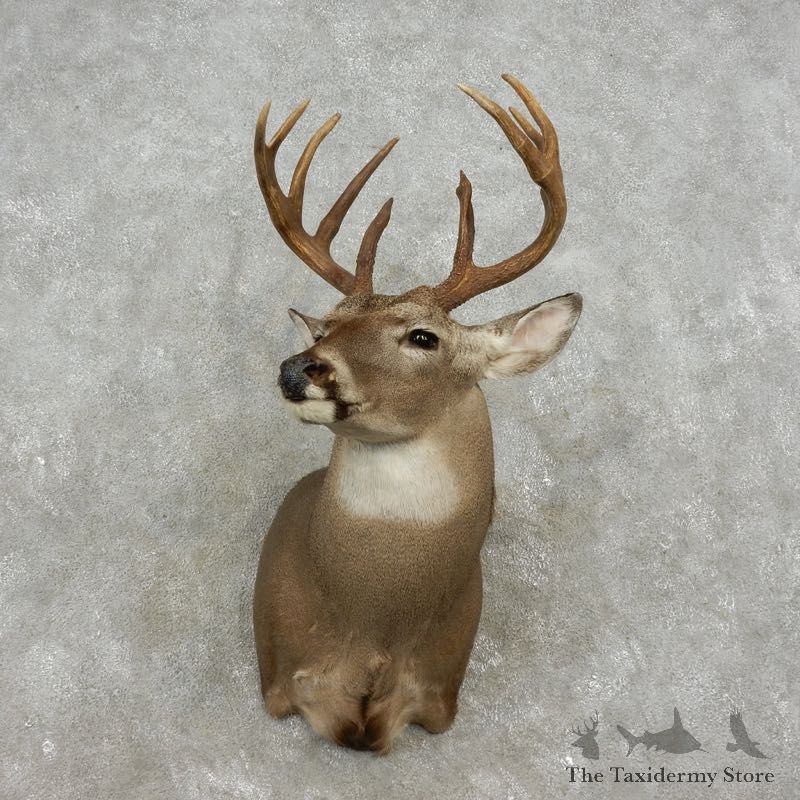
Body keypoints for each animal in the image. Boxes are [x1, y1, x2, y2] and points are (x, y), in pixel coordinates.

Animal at [252, 74, 581, 754]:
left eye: (423, 337)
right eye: (327, 325)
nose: (298, 368)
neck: (376, 628)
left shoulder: (438, 699)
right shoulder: (279, 681)